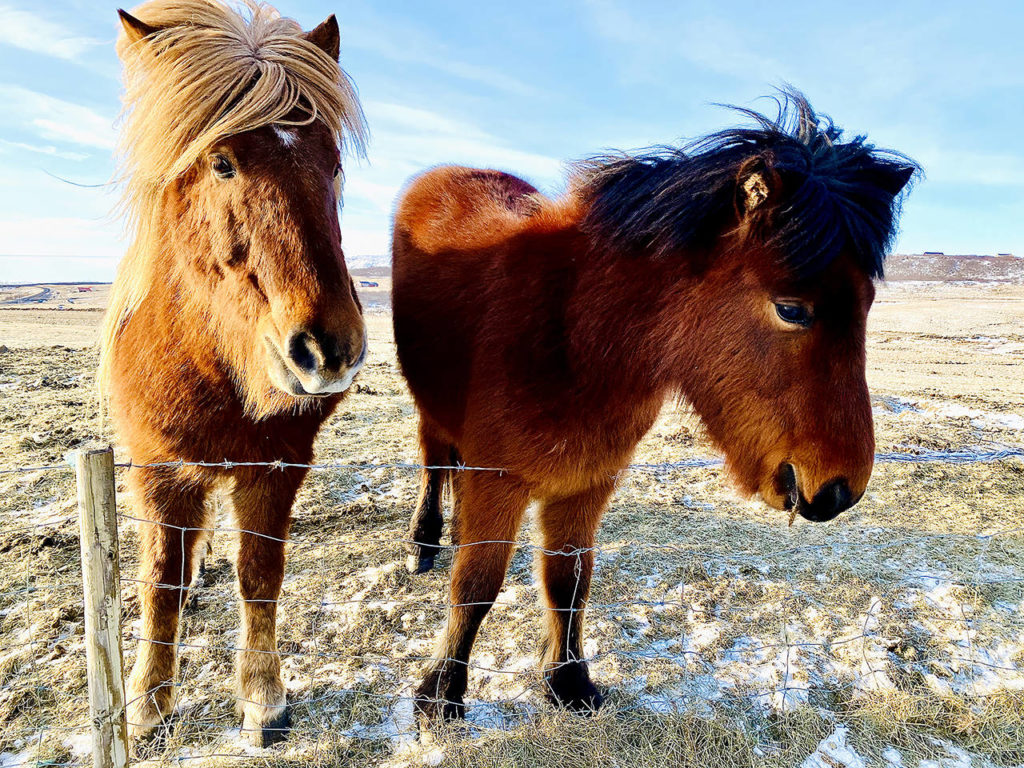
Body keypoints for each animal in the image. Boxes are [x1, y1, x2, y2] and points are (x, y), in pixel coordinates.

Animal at [101, 0, 366, 745]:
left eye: (335, 163)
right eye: (221, 162)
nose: (327, 349)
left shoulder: (276, 465)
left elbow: (260, 574)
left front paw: (262, 697)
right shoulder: (156, 467)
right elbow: (159, 577)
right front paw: (149, 701)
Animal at [393, 93, 921, 724]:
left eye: (867, 304)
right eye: (792, 309)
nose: (840, 491)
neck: (573, 336)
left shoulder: (587, 481)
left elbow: (569, 583)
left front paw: (568, 683)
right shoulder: (498, 480)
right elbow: (475, 586)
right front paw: (442, 693)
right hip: (429, 402)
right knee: (433, 459)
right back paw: (424, 543)